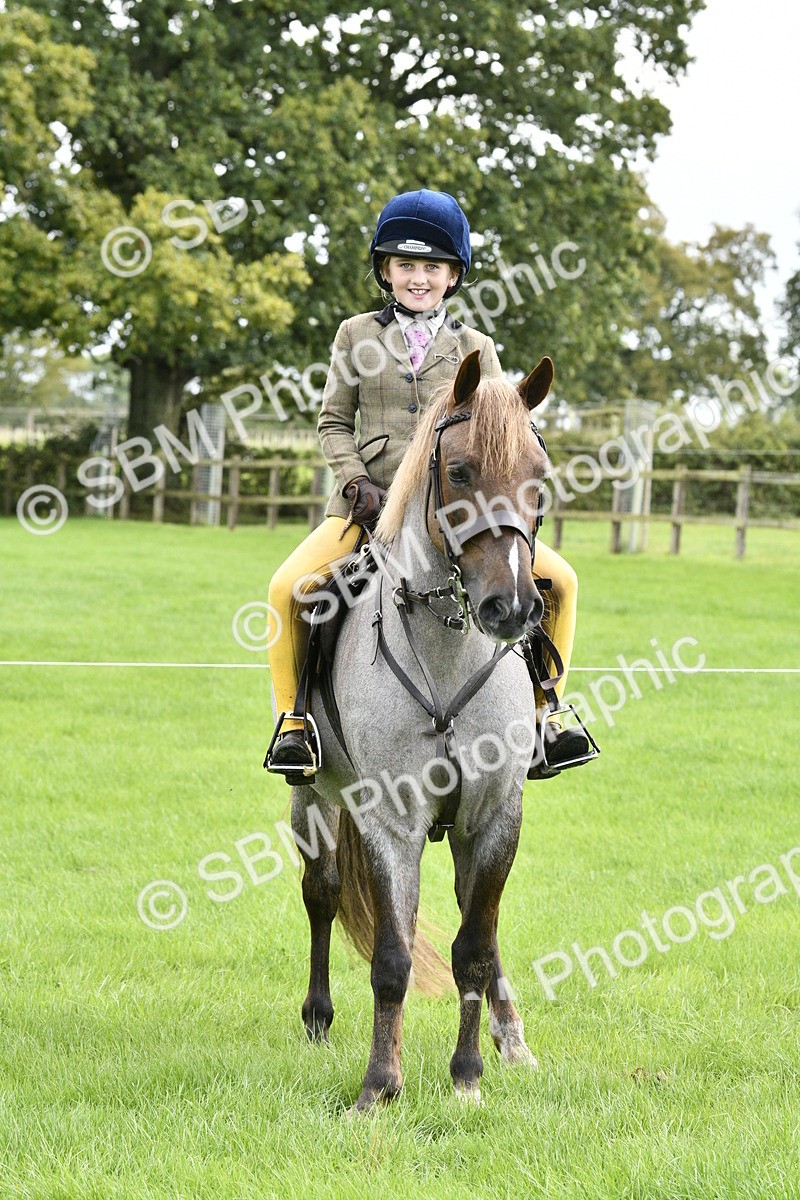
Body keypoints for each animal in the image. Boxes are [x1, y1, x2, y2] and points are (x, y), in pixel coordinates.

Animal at [289, 348, 553, 1110]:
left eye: (539, 473)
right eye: (459, 471)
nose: (510, 607)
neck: (444, 649)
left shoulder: (494, 815)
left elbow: (475, 947)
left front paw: (468, 1076)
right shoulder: (391, 819)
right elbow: (391, 957)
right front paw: (380, 1085)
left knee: (474, 923)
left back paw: (512, 1041)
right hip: (312, 795)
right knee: (323, 894)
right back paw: (318, 1020)